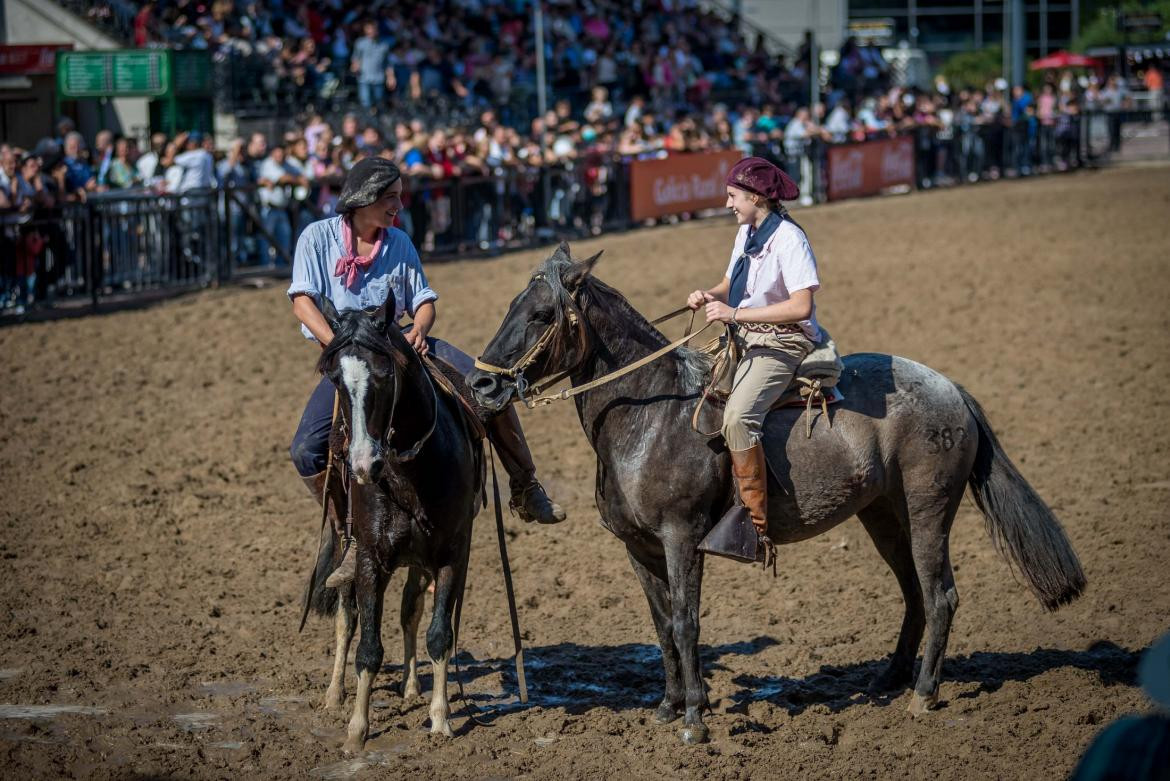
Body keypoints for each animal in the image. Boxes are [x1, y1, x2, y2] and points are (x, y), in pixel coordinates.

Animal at [306, 292, 484, 748]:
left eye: (386, 375)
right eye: (336, 379)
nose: (363, 465)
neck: (409, 476)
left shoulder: (452, 554)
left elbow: (439, 634)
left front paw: (440, 718)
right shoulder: (371, 558)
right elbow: (368, 646)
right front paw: (356, 730)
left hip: (420, 562)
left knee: (410, 611)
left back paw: (410, 686)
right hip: (349, 551)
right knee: (346, 619)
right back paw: (334, 693)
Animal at [467, 244, 1085, 743]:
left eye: (542, 313)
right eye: (511, 305)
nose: (481, 383)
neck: (651, 417)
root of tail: (950, 387)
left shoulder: (681, 538)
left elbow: (687, 621)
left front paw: (694, 719)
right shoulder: (637, 547)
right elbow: (663, 624)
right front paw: (668, 707)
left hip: (929, 511)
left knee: (940, 596)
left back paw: (924, 694)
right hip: (884, 516)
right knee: (913, 594)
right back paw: (887, 679)